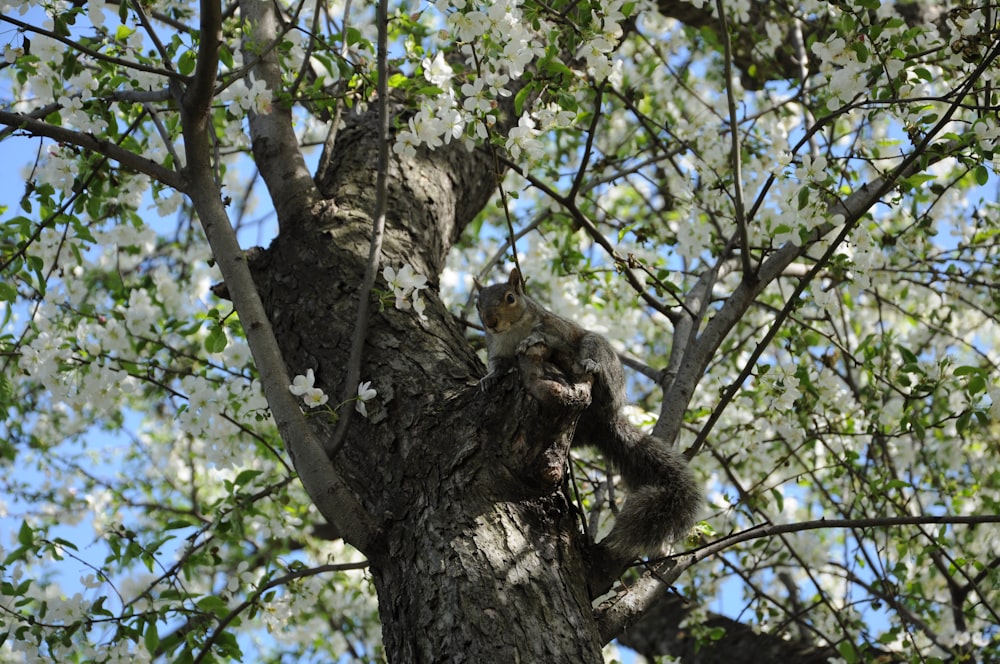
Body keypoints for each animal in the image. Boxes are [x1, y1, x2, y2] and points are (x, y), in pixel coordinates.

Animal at [478, 268, 704, 556]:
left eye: (510, 297)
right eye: (478, 304)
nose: (491, 322)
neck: (512, 331)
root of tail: (604, 420)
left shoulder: (557, 328)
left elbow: (553, 340)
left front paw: (534, 339)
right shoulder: (498, 350)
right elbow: (497, 367)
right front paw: (487, 379)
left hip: (597, 350)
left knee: (595, 365)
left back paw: (593, 366)